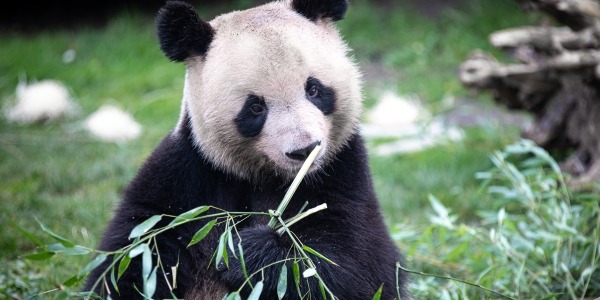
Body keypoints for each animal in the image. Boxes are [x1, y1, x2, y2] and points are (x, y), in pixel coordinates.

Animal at [84, 0, 410, 298]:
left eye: (314, 89)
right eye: (255, 107)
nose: (304, 150)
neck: (267, 176)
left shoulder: (342, 171)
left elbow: (355, 264)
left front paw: (246, 252)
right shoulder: (187, 174)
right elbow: (134, 253)